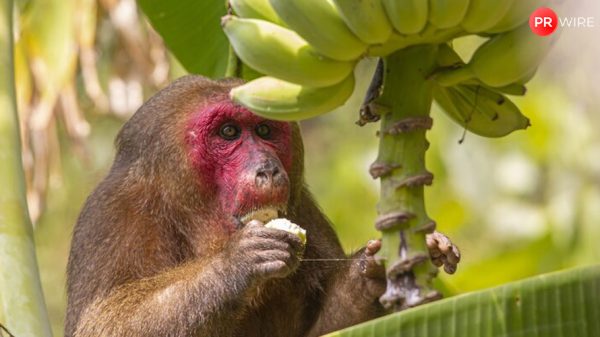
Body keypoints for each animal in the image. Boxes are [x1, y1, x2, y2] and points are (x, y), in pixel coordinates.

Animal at [65, 75, 460, 336]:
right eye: (228, 132)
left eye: (265, 131)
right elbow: (102, 324)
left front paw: (374, 269)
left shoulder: (303, 209)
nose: (268, 168)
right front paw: (233, 265)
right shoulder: (113, 216)